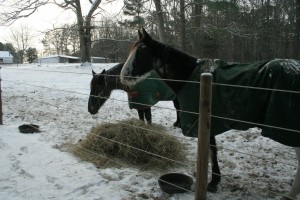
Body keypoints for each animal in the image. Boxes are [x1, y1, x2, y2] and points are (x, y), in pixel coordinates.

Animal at [120, 28, 300, 200]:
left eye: (141, 51)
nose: (123, 75)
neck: (190, 75)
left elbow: (212, 150)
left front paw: (212, 183)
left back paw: (290, 194)